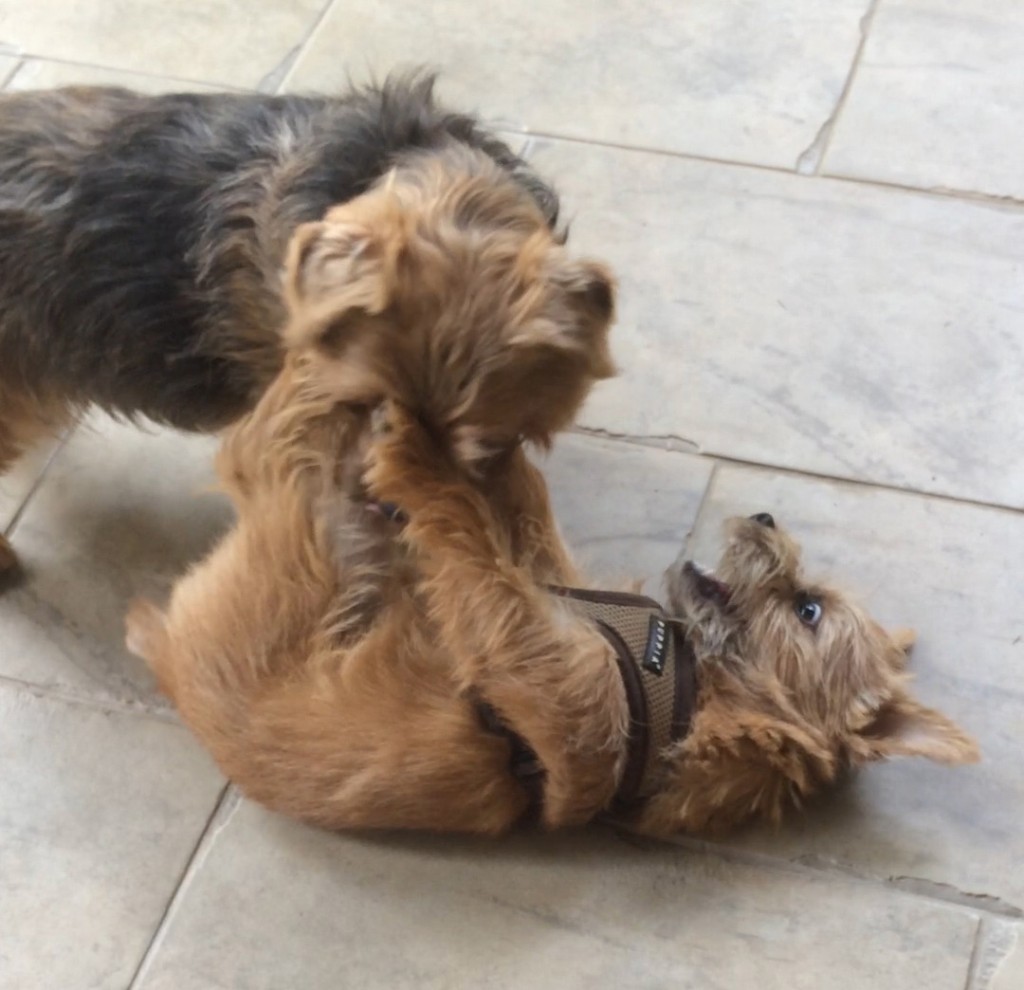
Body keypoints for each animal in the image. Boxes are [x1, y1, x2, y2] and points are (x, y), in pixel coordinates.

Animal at [125, 149, 974, 835]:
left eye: (808, 611)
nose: (765, 517)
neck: (689, 679)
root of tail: (164, 644)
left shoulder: (545, 671)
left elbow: (471, 542)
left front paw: (422, 451)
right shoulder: (548, 578)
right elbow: (517, 513)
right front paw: (496, 422)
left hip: (301, 500)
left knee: (305, 373)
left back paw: (392, 242)